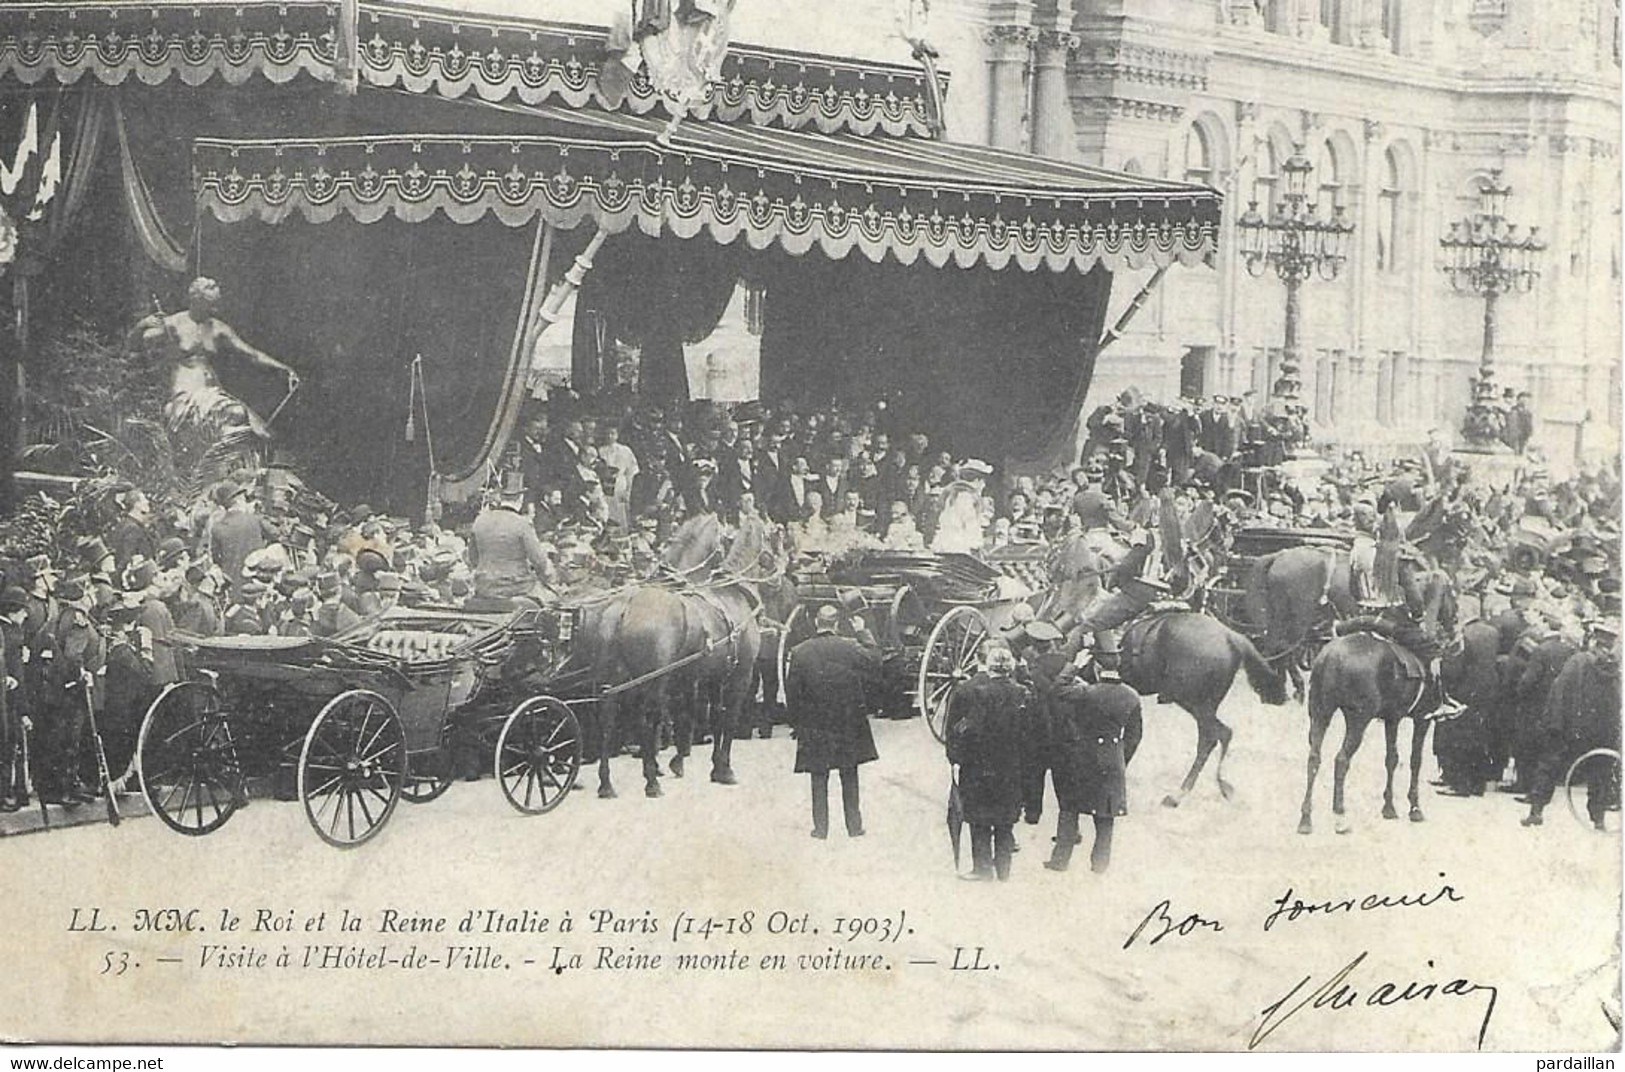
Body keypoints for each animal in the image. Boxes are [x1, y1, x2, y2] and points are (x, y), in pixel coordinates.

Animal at [591, 516, 773, 799]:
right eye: (773, 537)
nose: (779, 565)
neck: (732, 594)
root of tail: (626, 606)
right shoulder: (740, 675)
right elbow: (726, 718)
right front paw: (724, 769)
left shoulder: (710, 677)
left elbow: (712, 717)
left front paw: (711, 767)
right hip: (654, 681)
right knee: (647, 720)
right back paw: (651, 781)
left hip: (615, 681)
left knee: (609, 720)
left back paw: (607, 783)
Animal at [1111, 610, 1287, 805]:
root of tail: (1231, 637)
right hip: (1200, 705)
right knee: (1223, 733)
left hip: (1194, 703)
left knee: (1210, 737)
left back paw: (1180, 794)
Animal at [1300, 565, 1469, 831]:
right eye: (1452, 594)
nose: (1457, 640)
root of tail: (1331, 656)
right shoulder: (1422, 719)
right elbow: (1414, 760)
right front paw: (1414, 808)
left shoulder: (1392, 719)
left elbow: (1391, 758)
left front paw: (1389, 807)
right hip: (1357, 720)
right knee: (1341, 760)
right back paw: (1340, 817)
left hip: (1320, 713)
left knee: (1314, 758)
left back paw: (1306, 818)